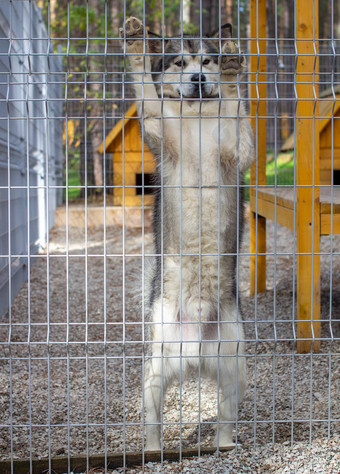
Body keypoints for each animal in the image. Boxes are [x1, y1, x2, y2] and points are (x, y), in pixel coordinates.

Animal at [119, 15, 252, 452]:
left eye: (206, 61)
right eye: (179, 62)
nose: (198, 79)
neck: (195, 116)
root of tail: (193, 352)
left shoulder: (237, 151)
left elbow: (235, 105)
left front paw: (232, 70)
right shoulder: (157, 128)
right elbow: (144, 86)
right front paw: (135, 42)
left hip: (234, 368)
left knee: (225, 419)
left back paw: (224, 446)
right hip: (154, 374)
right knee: (152, 422)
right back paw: (152, 451)